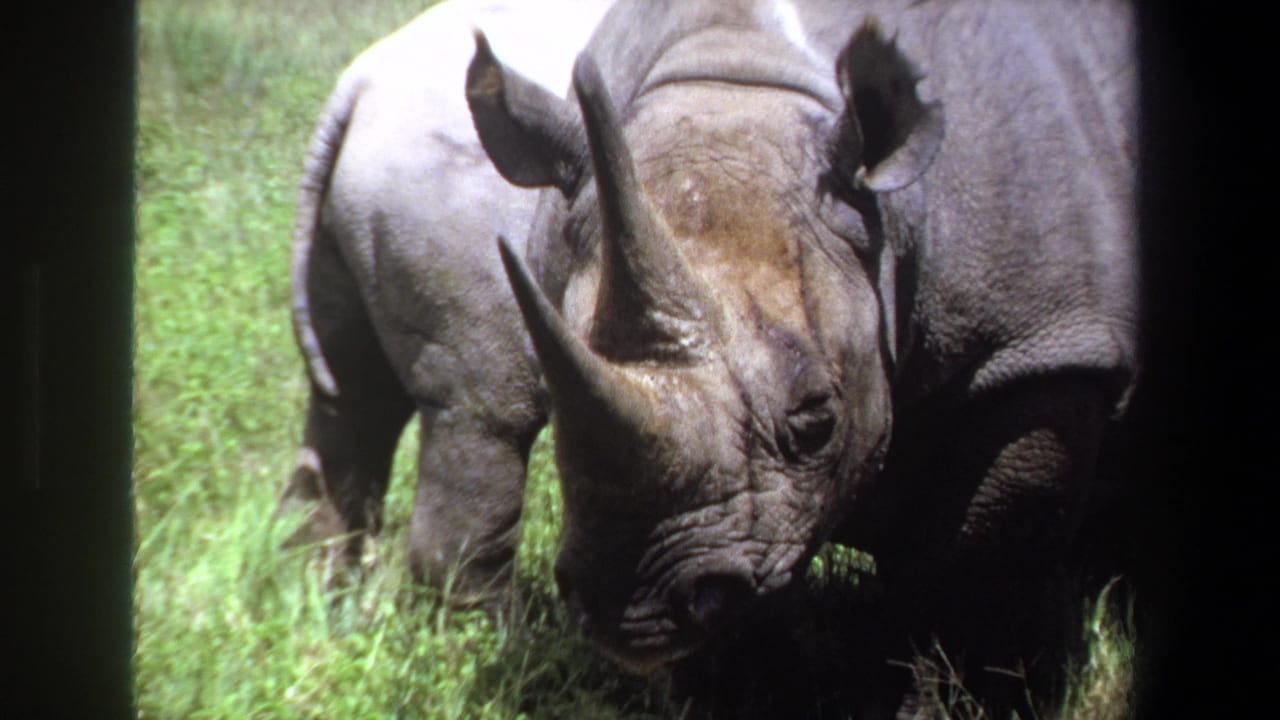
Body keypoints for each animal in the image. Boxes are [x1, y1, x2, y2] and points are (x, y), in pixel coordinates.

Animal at [280, 0, 613, 604]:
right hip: (459, 224)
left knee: (350, 400)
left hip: (345, 229)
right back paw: (508, 623)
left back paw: (321, 597)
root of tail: (357, 86)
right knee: (486, 416)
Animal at [467, 0, 1136, 707]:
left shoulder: (1033, 348)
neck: (740, 75)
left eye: (818, 421)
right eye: (554, 408)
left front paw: (951, 703)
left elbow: (969, 579)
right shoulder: (750, 523)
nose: (634, 609)